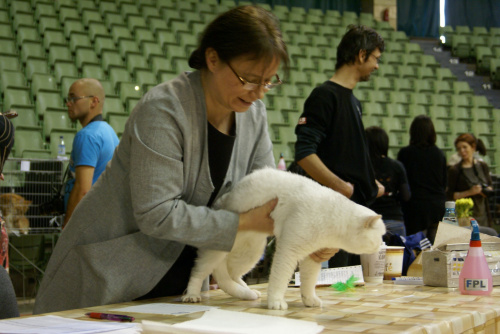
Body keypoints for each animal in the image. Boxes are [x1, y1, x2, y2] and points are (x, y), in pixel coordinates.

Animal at [182, 168, 384, 310]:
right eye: (380, 235)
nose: (382, 244)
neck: (332, 218)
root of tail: (225, 198)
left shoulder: (311, 257)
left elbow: (308, 282)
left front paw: (309, 299)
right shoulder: (288, 251)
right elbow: (279, 279)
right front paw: (276, 302)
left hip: (250, 252)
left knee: (230, 275)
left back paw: (248, 292)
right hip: (218, 250)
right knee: (199, 272)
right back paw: (192, 295)